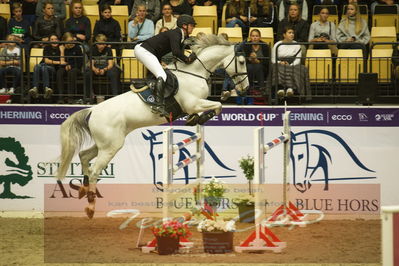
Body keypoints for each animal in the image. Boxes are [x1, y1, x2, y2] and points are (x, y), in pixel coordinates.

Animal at [56, 35, 250, 218]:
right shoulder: (193, 103)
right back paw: (90, 207)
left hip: (106, 143)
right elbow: (218, 106)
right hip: (110, 147)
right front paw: (200, 118)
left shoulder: (195, 105)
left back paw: (83, 190)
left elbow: (216, 106)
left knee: (84, 156)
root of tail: (92, 110)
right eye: (241, 62)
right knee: (95, 171)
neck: (195, 73)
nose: (246, 88)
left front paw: (196, 118)